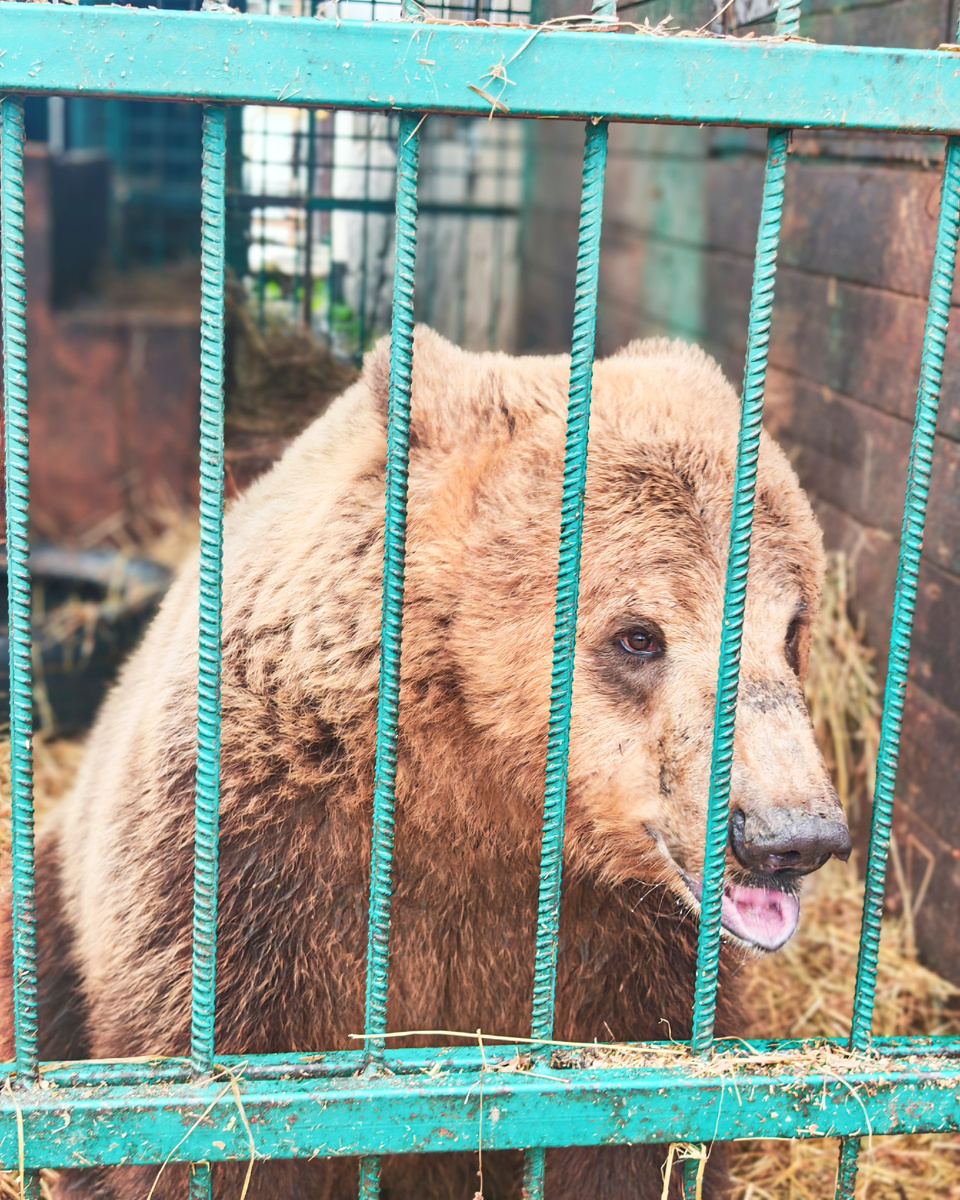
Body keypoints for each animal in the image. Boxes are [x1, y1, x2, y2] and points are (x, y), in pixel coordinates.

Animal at [1, 328, 850, 1199]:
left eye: (792, 627)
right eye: (638, 635)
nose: (790, 835)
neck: (474, 786)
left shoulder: (633, 948)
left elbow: (643, 1140)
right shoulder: (250, 866)